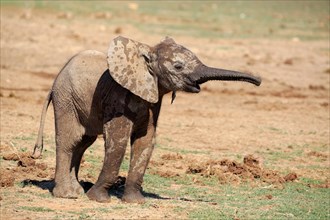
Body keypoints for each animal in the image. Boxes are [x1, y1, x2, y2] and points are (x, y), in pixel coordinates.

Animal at [32, 35, 260, 203]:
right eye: (178, 66)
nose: (258, 80)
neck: (146, 53)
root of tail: (55, 81)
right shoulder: (117, 96)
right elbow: (118, 141)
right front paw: (98, 199)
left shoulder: (153, 100)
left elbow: (146, 141)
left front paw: (135, 202)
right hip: (66, 99)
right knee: (69, 141)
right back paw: (67, 195)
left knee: (83, 143)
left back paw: (77, 190)